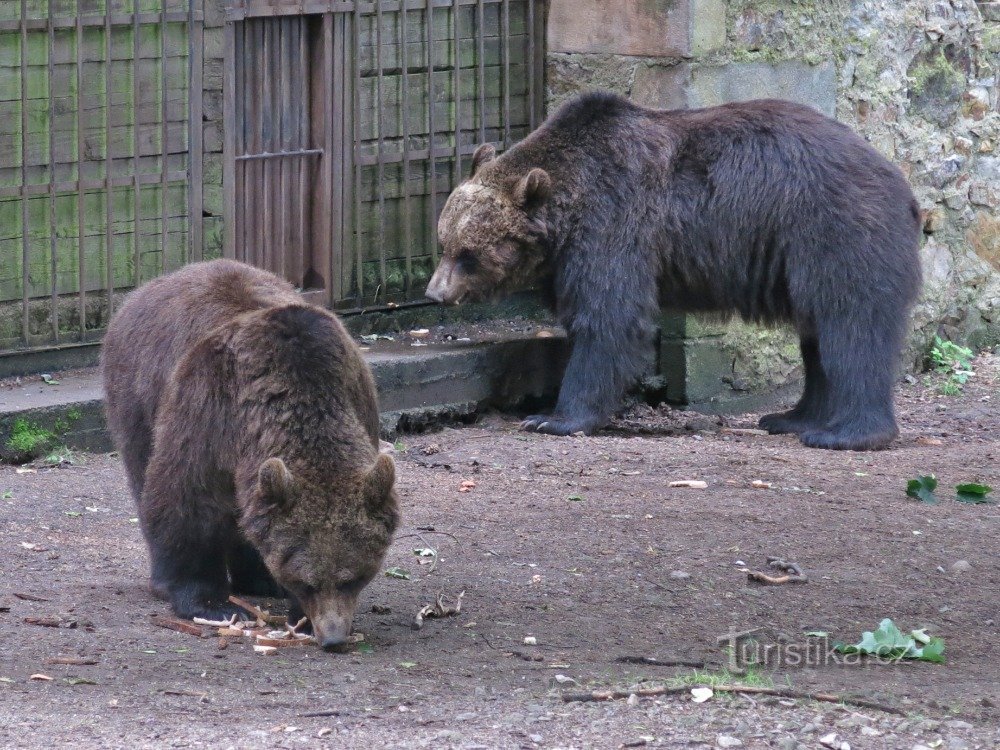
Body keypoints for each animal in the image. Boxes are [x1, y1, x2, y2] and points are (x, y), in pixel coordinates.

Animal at [100, 262, 398, 648]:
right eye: (307, 582)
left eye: (354, 577)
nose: (331, 637)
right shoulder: (209, 408)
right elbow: (187, 499)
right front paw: (211, 602)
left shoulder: (356, 393)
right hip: (138, 394)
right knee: (143, 470)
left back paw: (260, 578)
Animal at [426, 91, 916, 450]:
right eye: (443, 244)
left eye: (469, 254)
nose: (435, 294)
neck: (566, 210)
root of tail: (901, 184)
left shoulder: (614, 224)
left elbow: (610, 319)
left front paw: (553, 417)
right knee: (817, 336)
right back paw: (792, 416)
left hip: (833, 232)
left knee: (851, 326)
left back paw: (845, 433)